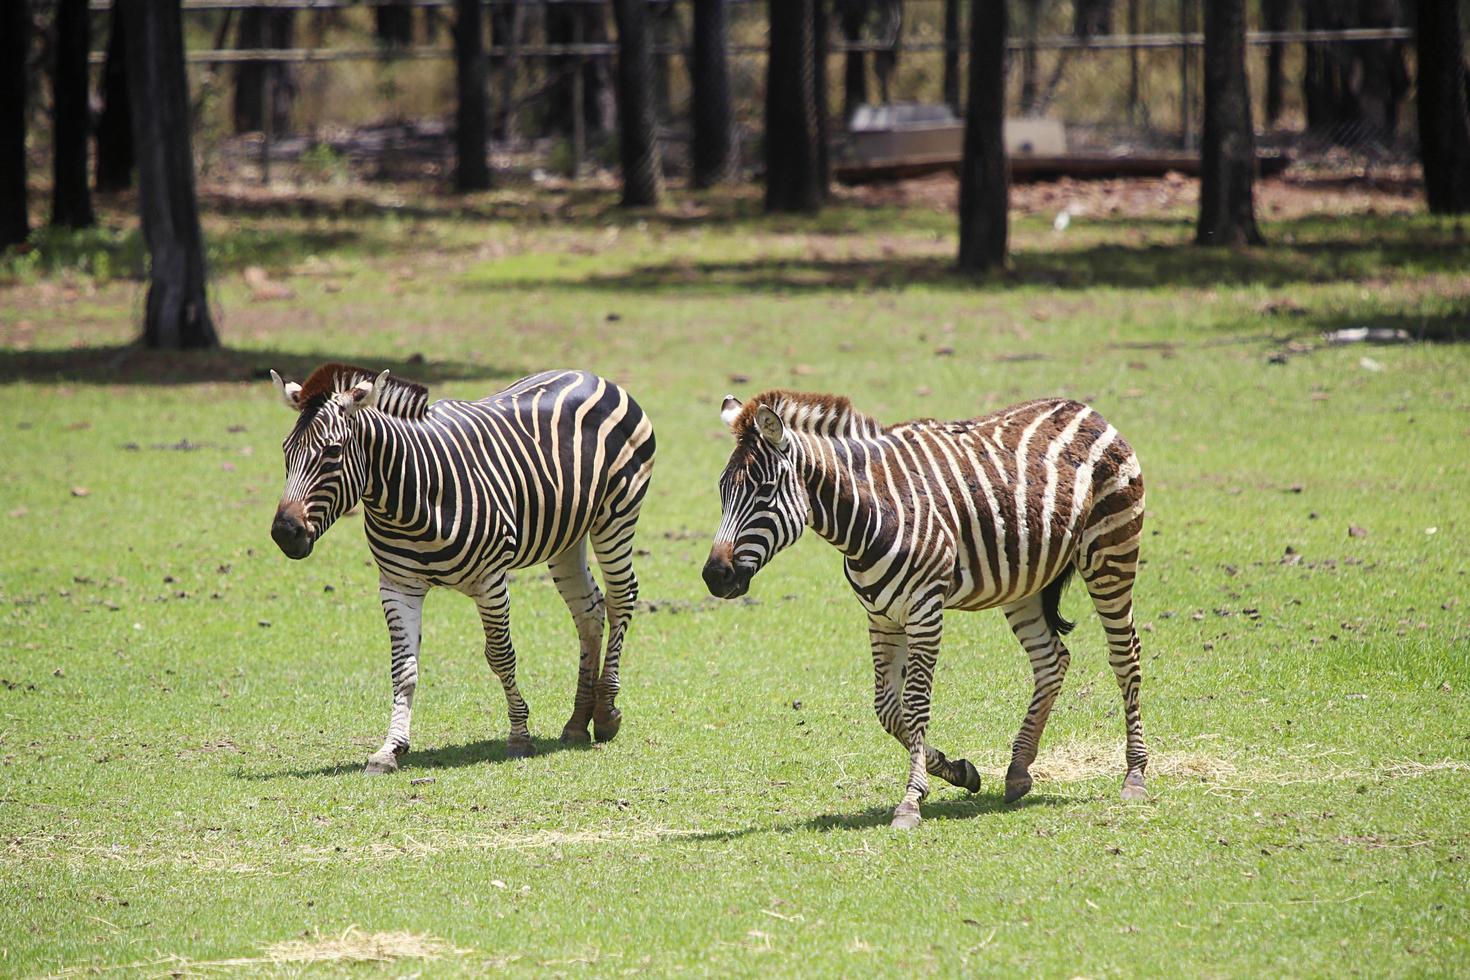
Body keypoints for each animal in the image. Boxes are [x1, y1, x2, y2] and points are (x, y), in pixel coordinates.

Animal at [269, 364, 655, 769]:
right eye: (286, 450)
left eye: (333, 452)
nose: (285, 533)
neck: (412, 497)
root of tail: (590, 375)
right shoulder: (397, 585)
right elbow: (403, 669)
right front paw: (391, 748)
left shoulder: (490, 581)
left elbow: (501, 656)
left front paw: (519, 736)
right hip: (567, 535)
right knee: (588, 610)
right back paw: (579, 722)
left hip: (616, 516)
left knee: (621, 597)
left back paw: (607, 713)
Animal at [702, 387, 1146, 828]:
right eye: (722, 490)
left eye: (764, 490)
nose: (714, 576)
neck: (868, 515)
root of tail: (1083, 409)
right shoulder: (881, 617)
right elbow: (887, 709)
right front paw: (959, 771)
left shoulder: (925, 612)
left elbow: (914, 706)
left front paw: (911, 800)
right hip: (1024, 581)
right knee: (1051, 660)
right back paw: (1019, 770)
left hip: (1111, 555)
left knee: (1125, 656)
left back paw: (1135, 776)